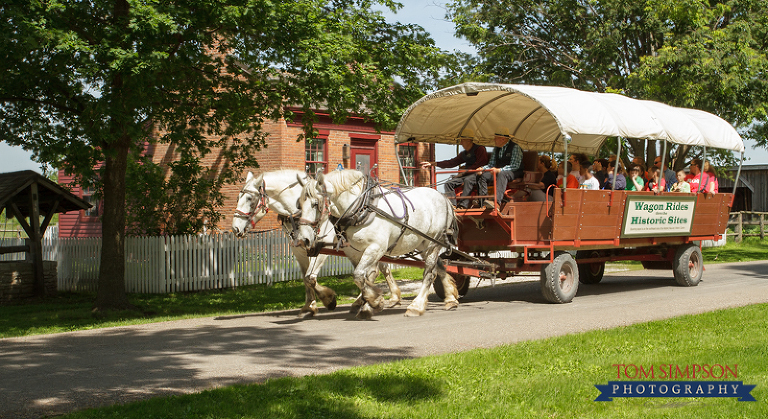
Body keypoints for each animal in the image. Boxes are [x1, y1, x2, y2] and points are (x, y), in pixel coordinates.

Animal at [231, 169, 402, 316]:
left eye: (250, 199)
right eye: (238, 198)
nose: (235, 228)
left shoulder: (320, 249)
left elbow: (310, 277)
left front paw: (328, 299)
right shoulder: (299, 250)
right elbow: (305, 278)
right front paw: (310, 305)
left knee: (376, 270)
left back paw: (381, 298)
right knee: (377, 270)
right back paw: (377, 298)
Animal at [296, 170, 460, 318]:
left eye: (315, 204)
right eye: (299, 205)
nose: (303, 240)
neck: (361, 209)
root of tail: (443, 198)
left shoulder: (376, 248)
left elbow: (359, 276)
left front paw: (374, 301)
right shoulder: (354, 252)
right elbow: (364, 277)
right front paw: (365, 303)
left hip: (434, 241)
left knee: (429, 272)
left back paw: (416, 306)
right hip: (423, 244)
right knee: (439, 267)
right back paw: (451, 299)